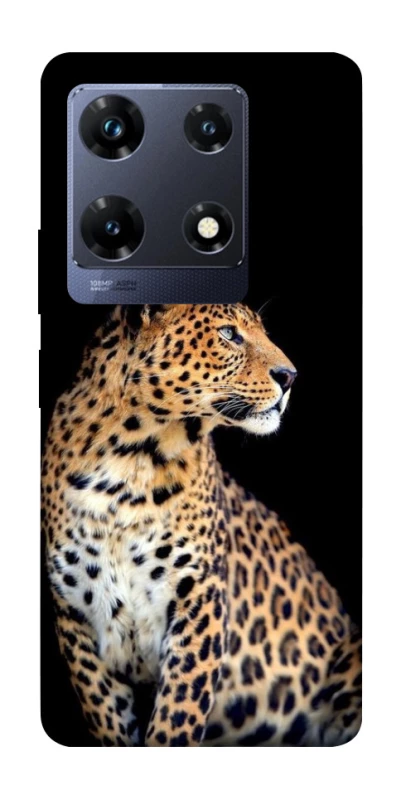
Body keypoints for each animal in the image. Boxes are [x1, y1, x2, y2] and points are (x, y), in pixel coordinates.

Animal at [42, 303, 361, 747]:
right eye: (228, 334)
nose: (290, 376)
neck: (129, 462)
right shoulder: (76, 617)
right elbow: (110, 719)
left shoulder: (200, 598)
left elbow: (177, 715)